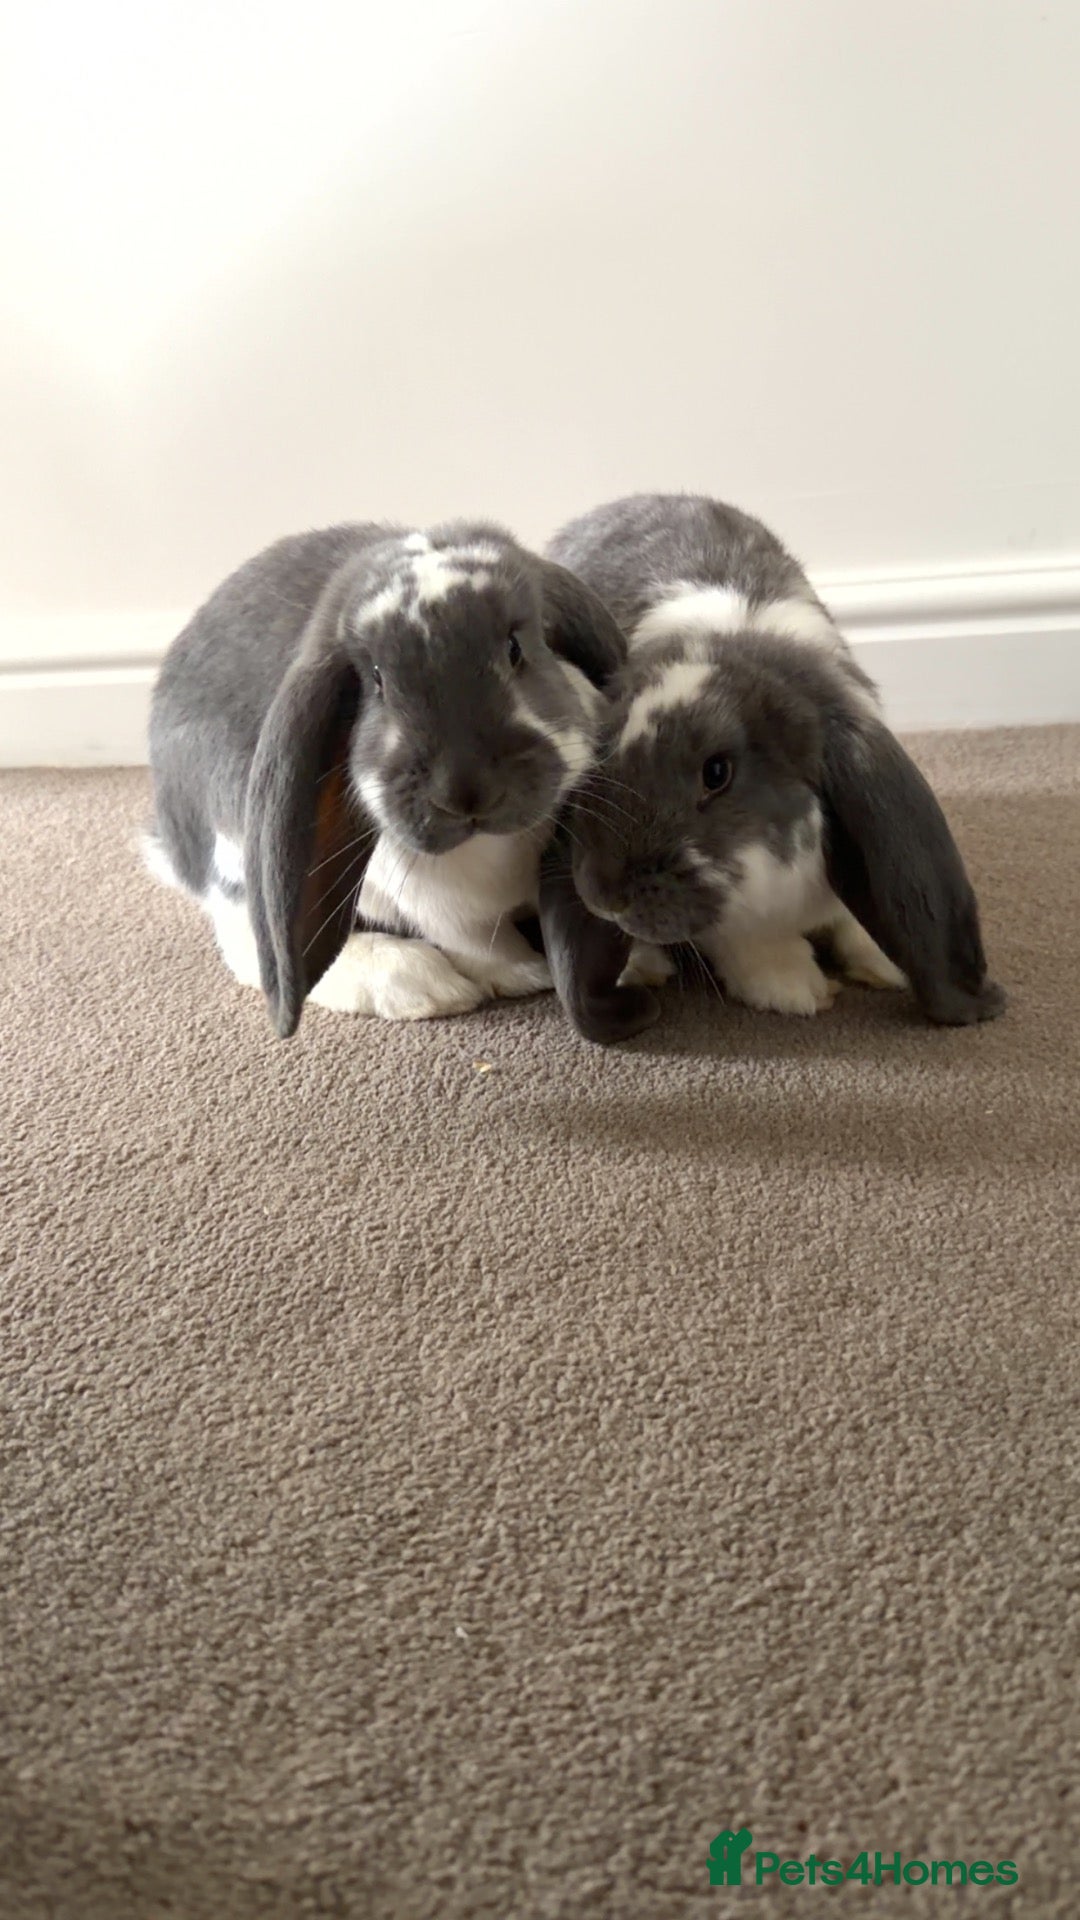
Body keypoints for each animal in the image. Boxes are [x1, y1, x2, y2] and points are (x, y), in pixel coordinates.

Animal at [145, 519, 627, 1037]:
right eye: (377, 680)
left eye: (516, 648)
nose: (464, 791)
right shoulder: (437, 905)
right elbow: (477, 943)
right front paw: (524, 974)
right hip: (235, 854)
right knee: (248, 942)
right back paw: (419, 984)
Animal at [539, 492, 1005, 1038]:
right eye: (603, 755)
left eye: (717, 773)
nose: (601, 894)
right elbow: (741, 938)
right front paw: (796, 989)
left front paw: (880, 965)